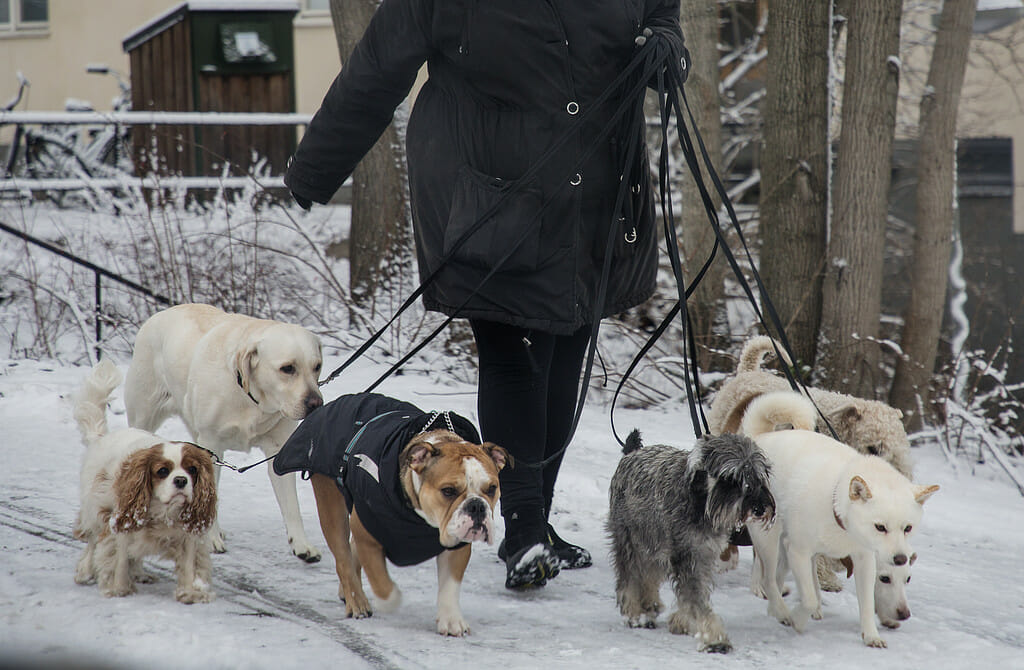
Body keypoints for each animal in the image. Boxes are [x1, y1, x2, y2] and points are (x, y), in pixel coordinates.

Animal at [124, 305, 323, 561]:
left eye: (317, 366)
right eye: (287, 368)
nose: (316, 403)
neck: (252, 400)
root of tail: (162, 312)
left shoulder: (278, 449)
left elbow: (291, 505)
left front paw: (301, 544)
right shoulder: (212, 446)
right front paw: (210, 539)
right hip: (144, 416)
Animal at [606, 430, 774, 655]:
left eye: (759, 475)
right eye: (731, 477)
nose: (759, 508)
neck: (702, 499)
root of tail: (631, 454)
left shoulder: (703, 554)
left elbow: (694, 594)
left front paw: (682, 621)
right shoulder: (687, 555)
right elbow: (696, 598)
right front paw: (714, 638)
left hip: (655, 544)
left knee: (649, 575)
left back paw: (650, 603)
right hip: (630, 541)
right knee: (629, 578)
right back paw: (635, 613)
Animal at [741, 393, 937, 651]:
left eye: (908, 528)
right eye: (880, 527)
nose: (900, 558)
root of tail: (762, 437)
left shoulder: (864, 560)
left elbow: (866, 603)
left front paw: (871, 635)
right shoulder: (800, 552)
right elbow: (809, 598)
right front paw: (799, 620)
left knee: (778, 576)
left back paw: (776, 610)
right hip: (768, 540)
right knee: (768, 578)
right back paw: (782, 611)